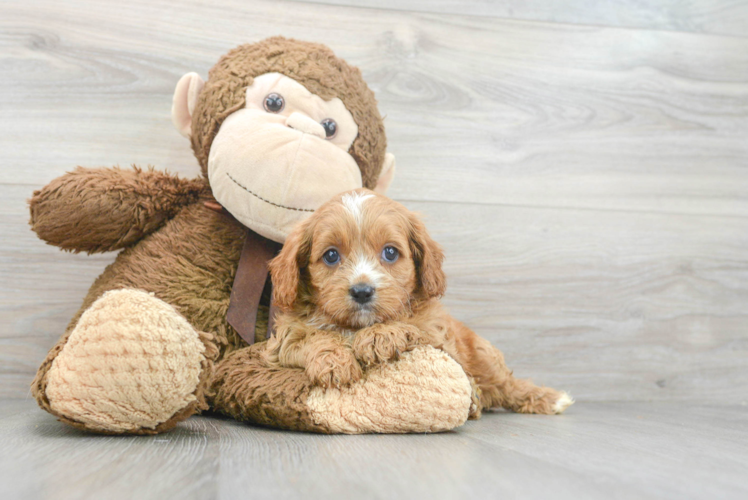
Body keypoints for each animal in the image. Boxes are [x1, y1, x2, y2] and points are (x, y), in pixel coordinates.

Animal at [268, 188, 572, 414]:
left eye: (390, 252)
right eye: (331, 255)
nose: (362, 291)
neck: (354, 327)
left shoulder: (438, 339)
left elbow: (412, 326)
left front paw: (380, 335)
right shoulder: (281, 343)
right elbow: (309, 339)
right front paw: (334, 362)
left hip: (484, 355)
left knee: (507, 385)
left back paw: (547, 399)